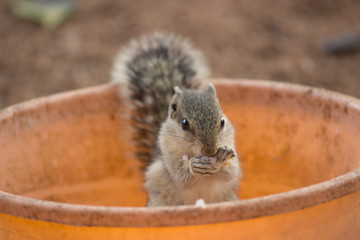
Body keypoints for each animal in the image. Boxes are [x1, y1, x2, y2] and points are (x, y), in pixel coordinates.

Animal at [112, 32, 242, 207]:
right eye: (184, 123)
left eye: (222, 121)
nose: (210, 151)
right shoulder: (168, 152)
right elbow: (181, 178)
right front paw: (193, 165)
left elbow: (231, 173)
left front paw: (224, 152)